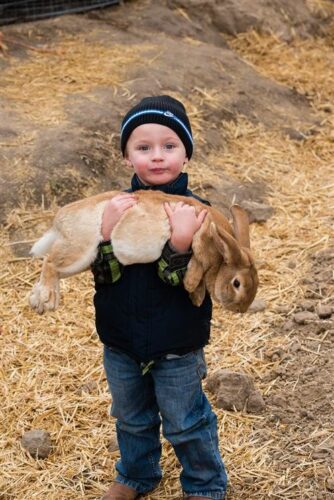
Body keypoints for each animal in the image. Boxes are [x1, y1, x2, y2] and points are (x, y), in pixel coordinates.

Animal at [29, 190, 258, 312]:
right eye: (237, 283)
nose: (240, 309)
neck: (221, 254)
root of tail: (59, 221)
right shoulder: (200, 240)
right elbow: (197, 265)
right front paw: (192, 286)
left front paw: (196, 297)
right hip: (80, 250)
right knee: (50, 263)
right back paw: (47, 298)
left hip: (84, 259)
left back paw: (37, 299)